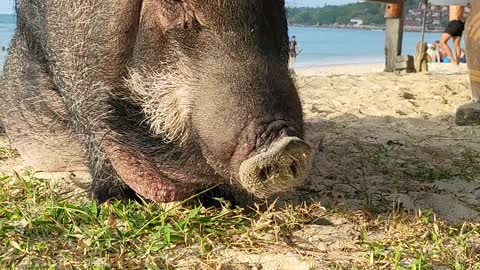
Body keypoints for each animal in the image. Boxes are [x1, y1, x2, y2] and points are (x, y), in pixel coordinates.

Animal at [0, 0, 314, 205]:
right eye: (175, 4)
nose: (286, 145)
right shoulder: (75, 75)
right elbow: (95, 134)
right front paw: (114, 201)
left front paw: (224, 201)